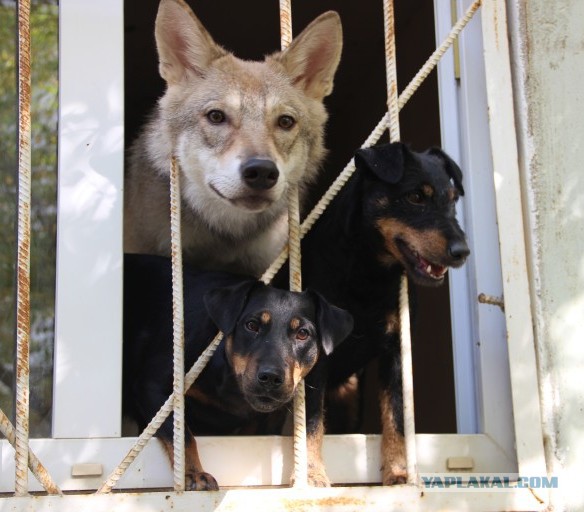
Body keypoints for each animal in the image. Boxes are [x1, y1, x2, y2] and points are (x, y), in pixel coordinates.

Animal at [122, 254, 352, 490]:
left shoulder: (311, 391)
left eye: (303, 333)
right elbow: (182, 434)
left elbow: (312, 430)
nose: (271, 377)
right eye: (251, 325)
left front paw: (311, 475)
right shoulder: (153, 387)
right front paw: (195, 474)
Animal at [302, 143, 470, 484]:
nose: (462, 252)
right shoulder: (315, 359)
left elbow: (396, 415)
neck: (369, 274)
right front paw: (312, 476)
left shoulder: (396, 351)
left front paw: (397, 472)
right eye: (416, 197)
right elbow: (311, 420)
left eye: (452, 200)